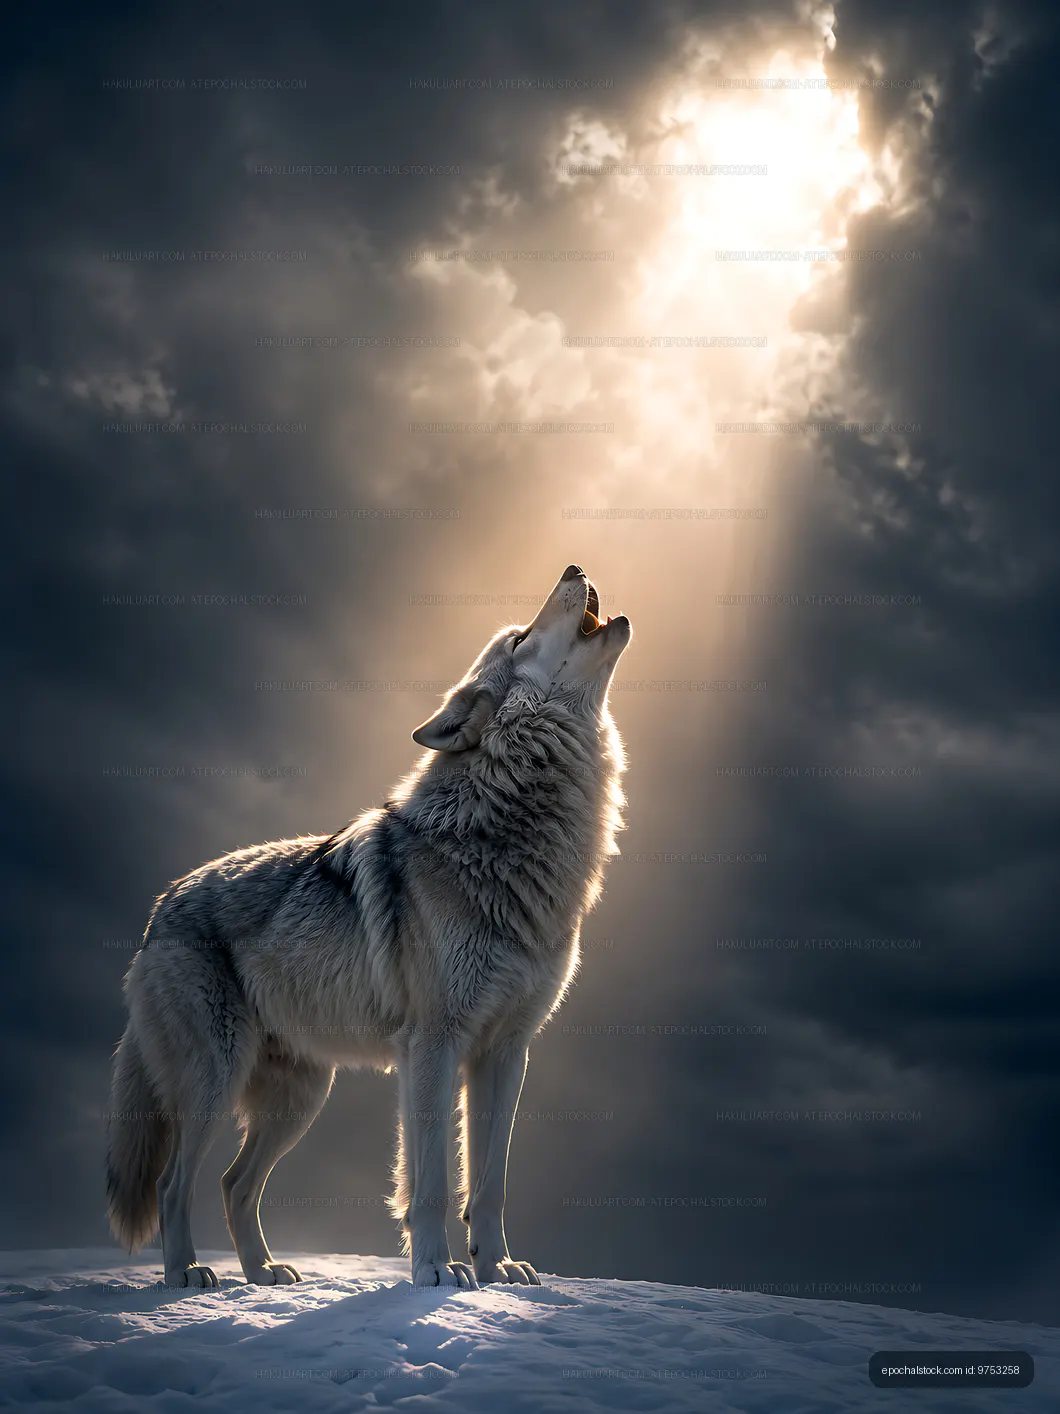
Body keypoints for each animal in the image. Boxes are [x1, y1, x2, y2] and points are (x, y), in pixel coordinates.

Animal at [106, 565, 630, 1289]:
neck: (502, 835)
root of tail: (160, 908)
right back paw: (188, 1275)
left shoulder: (507, 1051)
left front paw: (497, 1268)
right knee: (172, 1183)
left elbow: (489, 1181)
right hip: (217, 1080)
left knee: (234, 1184)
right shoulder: (433, 1043)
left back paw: (264, 1272)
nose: (573, 569)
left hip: (299, 1099)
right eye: (521, 637)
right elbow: (432, 1180)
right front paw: (437, 1272)